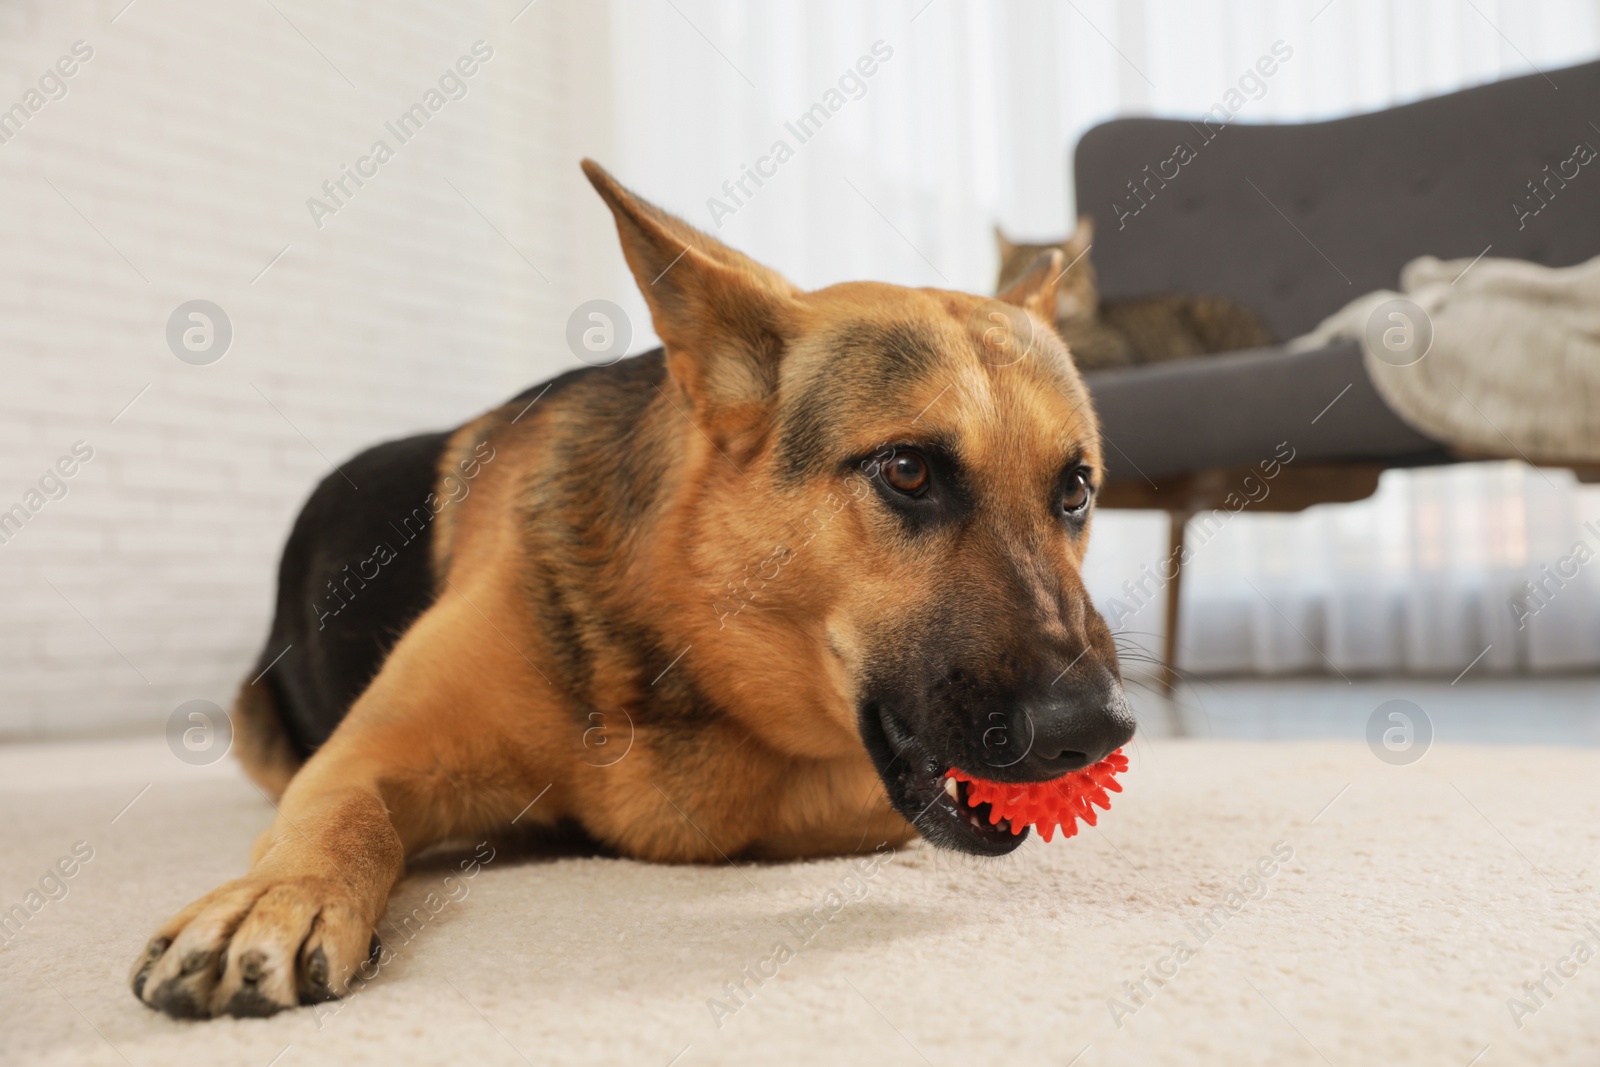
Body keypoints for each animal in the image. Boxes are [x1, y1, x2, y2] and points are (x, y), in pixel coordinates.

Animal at [134, 163, 1139, 1023]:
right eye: (907, 470)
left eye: (1076, 491)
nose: (1094, 731)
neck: (684, 632)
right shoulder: (363, 753)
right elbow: (344, 819)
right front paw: (281, 893)